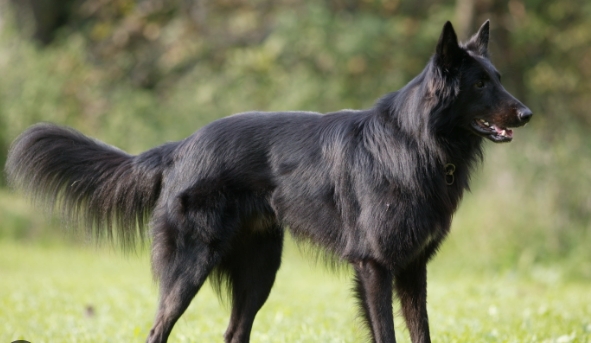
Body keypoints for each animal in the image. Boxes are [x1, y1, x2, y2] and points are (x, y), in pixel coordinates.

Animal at [4, 21, 532, 343]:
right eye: (480, 84)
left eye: (499, 77)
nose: (528, 114)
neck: (415, 144)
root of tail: (180, 147)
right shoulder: (376, 266)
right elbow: (387, 333)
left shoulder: (413, 268)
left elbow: (421, 332)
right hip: (189, 267)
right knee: (158, 329)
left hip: (260, 272)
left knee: (234, 332)